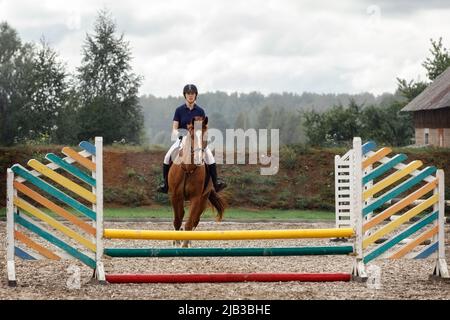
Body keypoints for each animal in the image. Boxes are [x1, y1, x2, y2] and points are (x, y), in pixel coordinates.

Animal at [167, 115, 225, 248]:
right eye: (192, 135)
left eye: (205, 135)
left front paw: (184, 244)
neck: (188, 168)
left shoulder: (196, 198)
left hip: (203, 199)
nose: (199, 159)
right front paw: (176, 241)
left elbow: (189, 222)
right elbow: (177, 219)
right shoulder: (175, 196)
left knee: (195, 220)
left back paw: (189, 241)